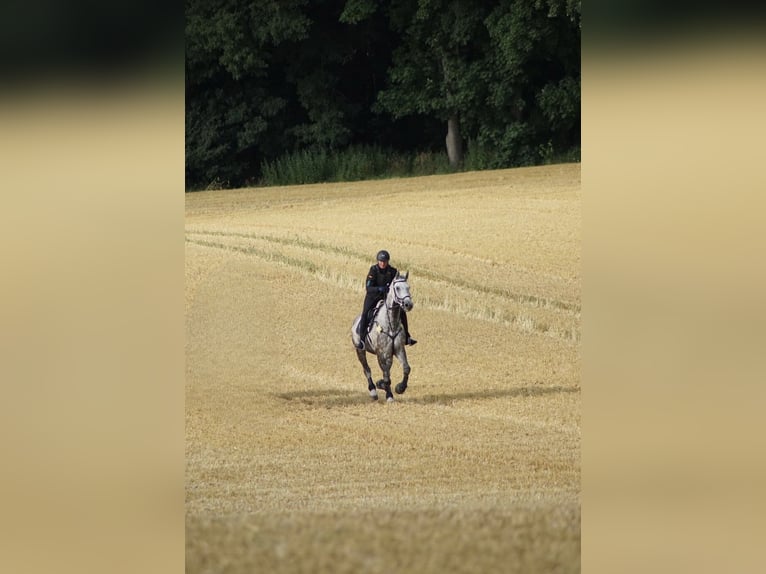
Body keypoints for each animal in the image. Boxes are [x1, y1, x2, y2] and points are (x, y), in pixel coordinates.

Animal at [352, 272, 414, 402]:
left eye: (408, 287)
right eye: (397, 288)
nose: (408, 305)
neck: (391, 324)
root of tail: (355, 321)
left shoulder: (399, 349)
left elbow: (406, 368)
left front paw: (400, 388)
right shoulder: (381, 353)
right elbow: (386, 376)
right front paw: (389, 395)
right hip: (360, 351)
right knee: (367, 370)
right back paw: (373, 391)